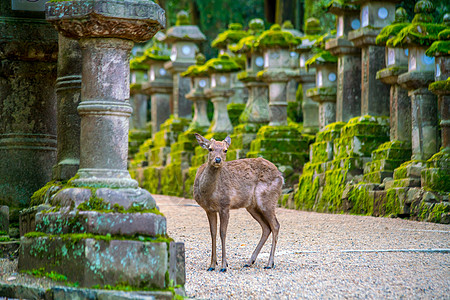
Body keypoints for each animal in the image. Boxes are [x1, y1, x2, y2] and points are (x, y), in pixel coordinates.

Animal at [192, 134, 284, 272]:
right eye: (210, 149)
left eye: (225, 150)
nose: (218, 160)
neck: (209, 194)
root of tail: (281, 176)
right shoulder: (208, 209)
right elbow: (213, 233)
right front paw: (212, 265)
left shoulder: (225, 205)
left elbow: (222, 233)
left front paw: (224, 266)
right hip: (252, 206)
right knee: (266, 227)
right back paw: (249, 261)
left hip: (267, 199)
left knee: (275, 225)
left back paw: (269, 263)